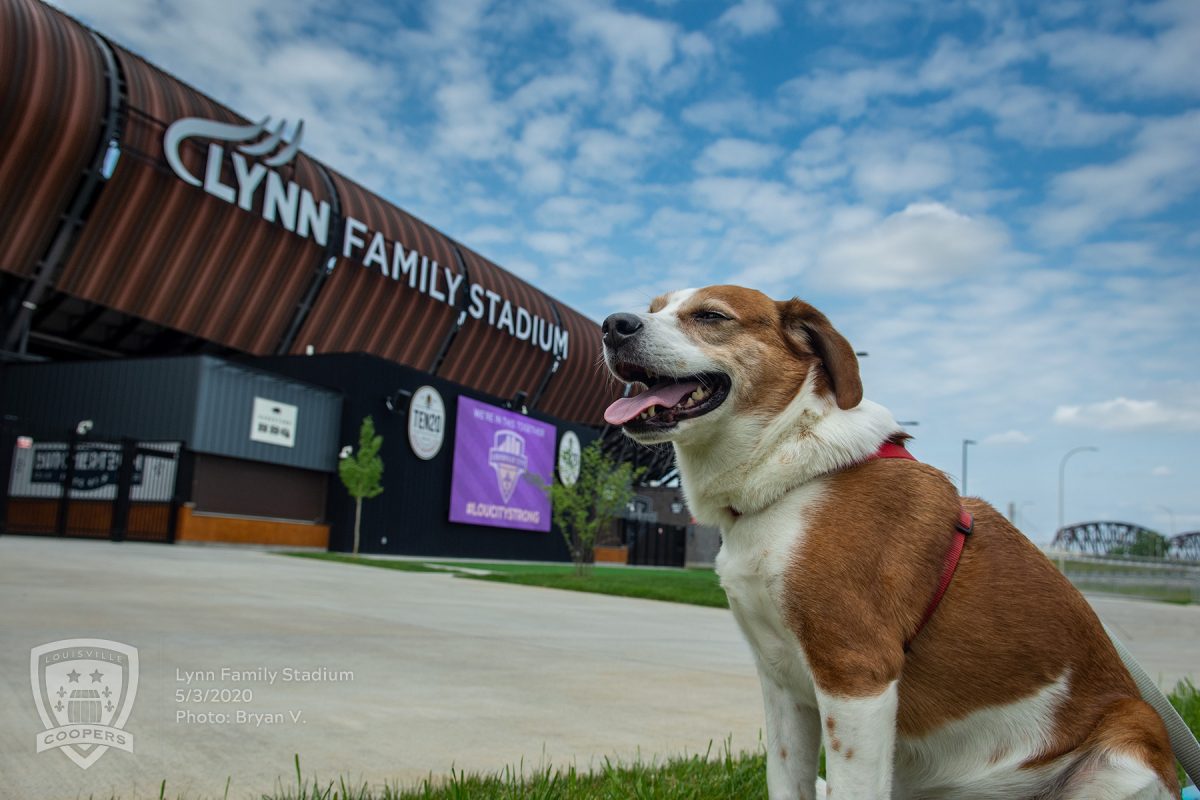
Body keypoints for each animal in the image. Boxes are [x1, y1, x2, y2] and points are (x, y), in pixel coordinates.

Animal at [600, 287, 1171, 800]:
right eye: (655, 308)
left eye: (710, 316)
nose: (612, 324)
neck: (788, 472)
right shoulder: (783, 685)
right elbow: (785, 782)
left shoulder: (857, 674)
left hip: (1124, 755)